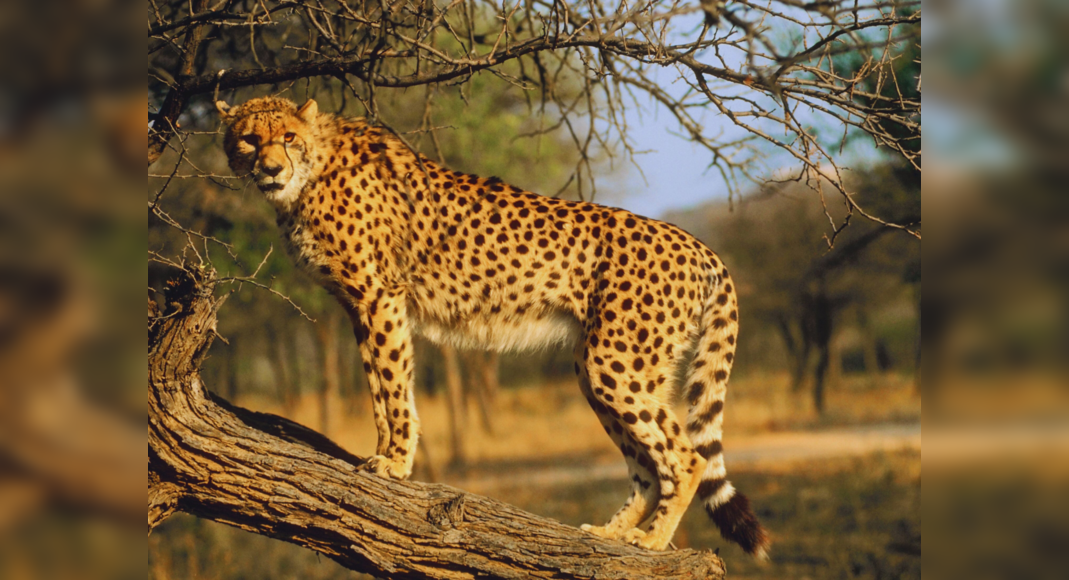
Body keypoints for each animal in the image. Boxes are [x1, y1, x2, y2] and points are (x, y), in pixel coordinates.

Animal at [216, 96, 770, 557]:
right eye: (250, 139)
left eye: (288, 137)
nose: (269, 168)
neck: (310, 174)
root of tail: (699, 245)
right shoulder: (358, 306)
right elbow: (378, 386)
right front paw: (384, 453)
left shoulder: (380, 296)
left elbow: (393, 385)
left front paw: (395, 462)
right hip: (599, 368)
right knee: (648, 465)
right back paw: (610, 533)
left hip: (616, 364)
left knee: (687, 457)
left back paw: (651, 540)